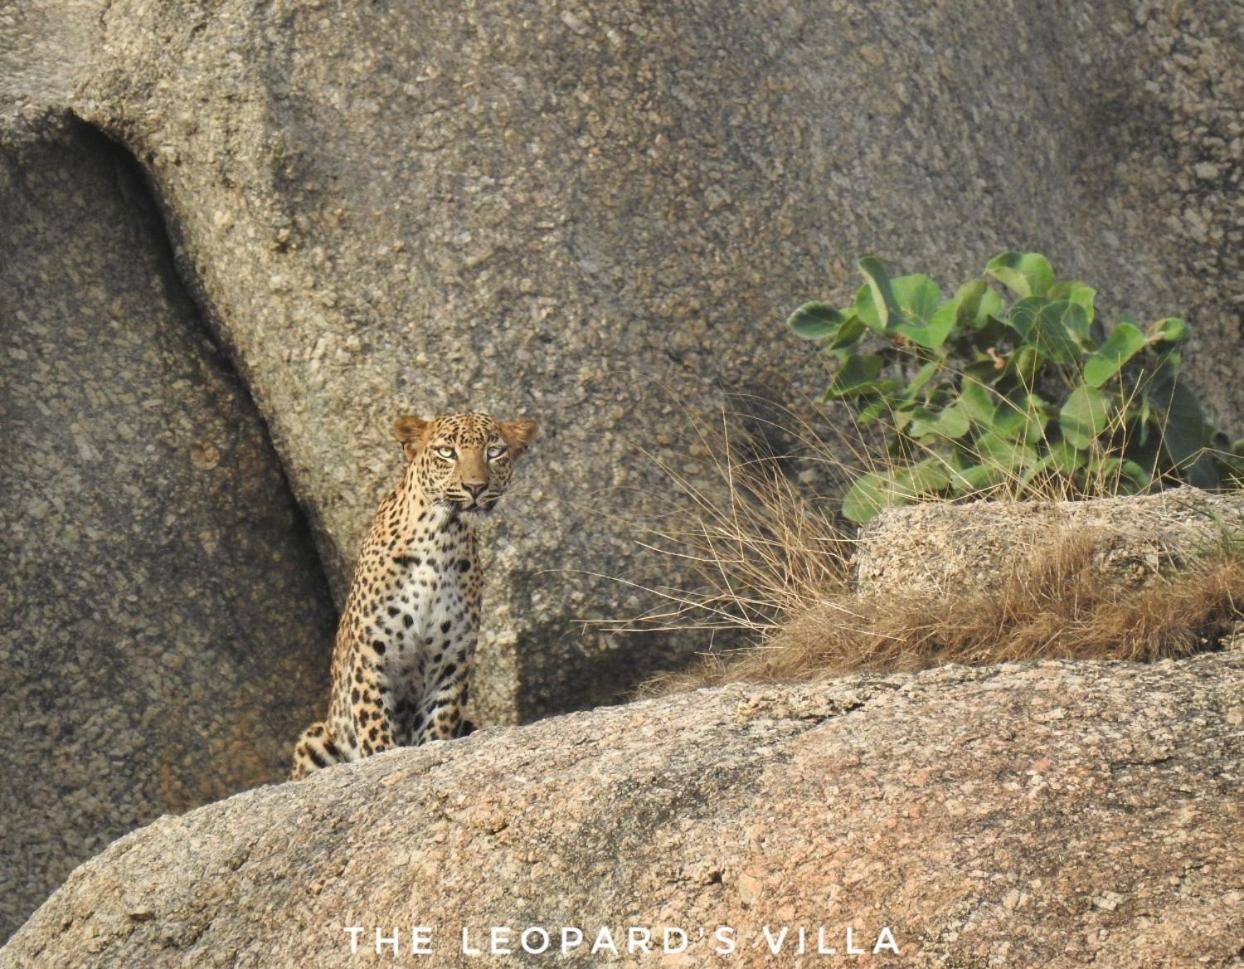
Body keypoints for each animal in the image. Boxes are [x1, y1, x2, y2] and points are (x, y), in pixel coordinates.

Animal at [293, 410, 542, 781]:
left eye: (495, 452)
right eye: (446, 452)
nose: (475, 487)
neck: (441, 538)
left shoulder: (452, 663)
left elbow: (437, 725)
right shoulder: (370, 656)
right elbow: (375, 728)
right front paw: (384, 759)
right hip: (315, 737)